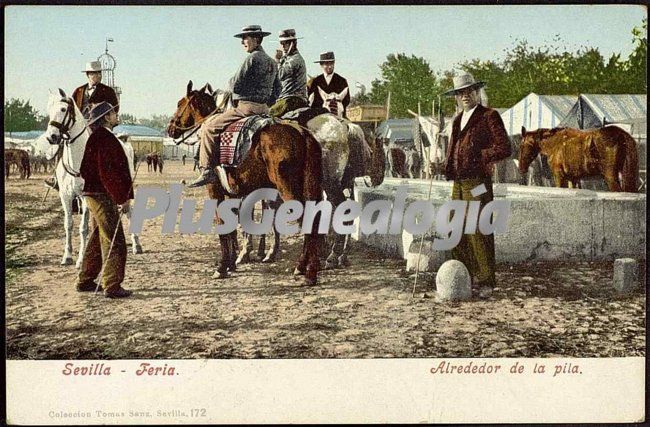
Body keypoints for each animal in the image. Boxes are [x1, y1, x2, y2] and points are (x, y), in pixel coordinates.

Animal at [40, 89, 143, 268]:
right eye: (49, 110)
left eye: (63, 109)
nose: (51, 137)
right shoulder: (66, 196)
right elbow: (68, 225)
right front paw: (67, 256)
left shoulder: (85, 196)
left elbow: (83, 228)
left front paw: (81, 259)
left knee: (129, 211)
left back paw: (136, 244)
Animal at [165, 81, 322, 286]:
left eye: (179, 104)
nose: (170, 129)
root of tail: (302, 133)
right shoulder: (233, 194)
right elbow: (232, 227)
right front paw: (232, 262)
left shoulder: (215, 189)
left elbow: (223, 225)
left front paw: (222, 267)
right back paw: (302, 267)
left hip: (287, 188)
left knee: (306, 220)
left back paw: (310, 273)